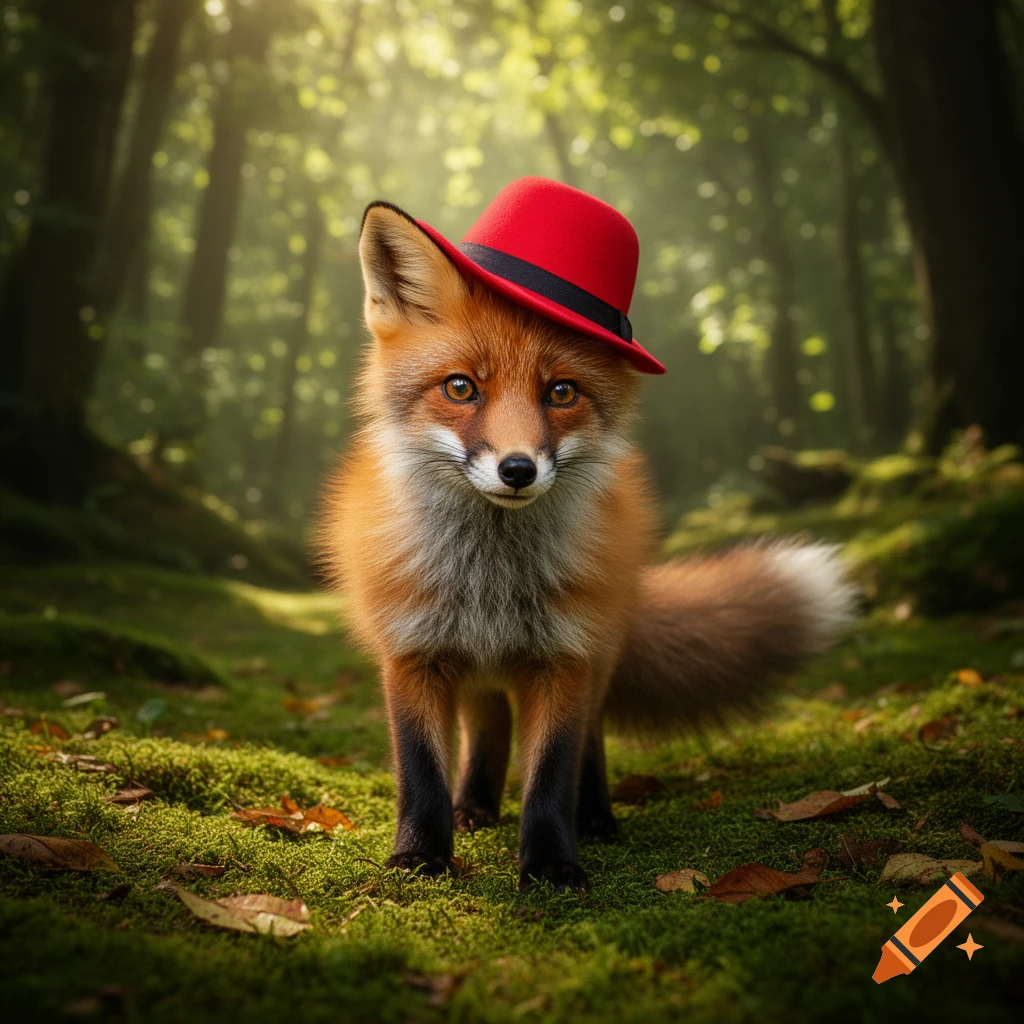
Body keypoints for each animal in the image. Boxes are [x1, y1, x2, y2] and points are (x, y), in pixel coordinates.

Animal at [319, 196, 857, 892]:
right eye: (461, 387)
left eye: (561, 392)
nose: (517, 470)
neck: (491, 582)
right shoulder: (412, 654)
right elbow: (419, 772)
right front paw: (420, 857)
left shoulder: (567, 657)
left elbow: (553, 771)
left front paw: (552, 864)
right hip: (477, 673)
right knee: (488, 729)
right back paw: (475, 807)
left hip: (599, 653)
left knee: (588, 741)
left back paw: (597, 815)